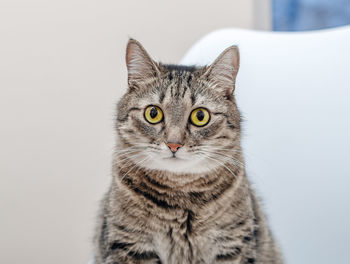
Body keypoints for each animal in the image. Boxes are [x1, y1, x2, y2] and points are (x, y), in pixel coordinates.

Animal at [93, 39, 282, 264]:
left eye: (200, 116)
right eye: (153, 113)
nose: (174, 144)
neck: (180, 196)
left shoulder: (233, 244)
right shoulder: (130, 244)